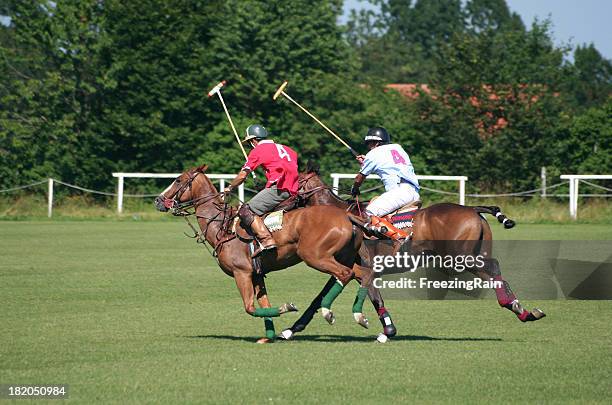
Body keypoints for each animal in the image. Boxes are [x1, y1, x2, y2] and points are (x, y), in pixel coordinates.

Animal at [153, 163, 372, 342]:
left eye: (178, 180)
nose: (157, 200)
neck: (221, 227)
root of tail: (348, 216)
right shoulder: (257, 274)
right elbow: (264, 306)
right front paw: (269, 337)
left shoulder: (241, 272)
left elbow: (250, 308)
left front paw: (287, 308)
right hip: (344, 256)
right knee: (364, 275)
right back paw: (361, 317)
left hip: (315, 256)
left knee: (345, 274)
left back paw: (328, 312)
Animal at [282, 163, 544, 340]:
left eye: (293, 181)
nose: (279, 204)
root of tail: (472, 209)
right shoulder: (347, 267)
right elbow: (319, 298)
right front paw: (291, 329)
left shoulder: (363, 268)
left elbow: (371, 296)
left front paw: (386, 331)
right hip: (473, 254)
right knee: (494, 270)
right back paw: (521, 310)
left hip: (461, 257)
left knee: (494, 267)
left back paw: (517, 307)